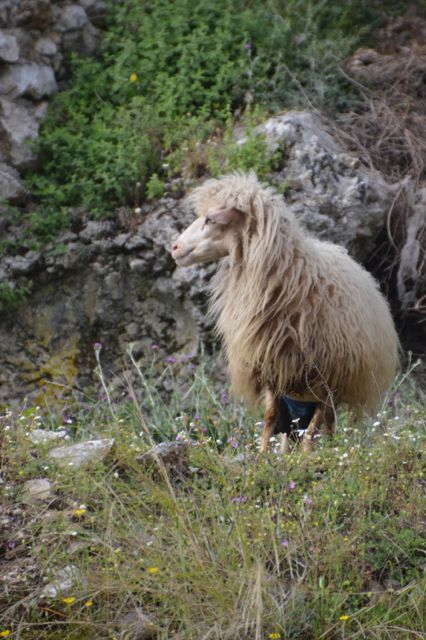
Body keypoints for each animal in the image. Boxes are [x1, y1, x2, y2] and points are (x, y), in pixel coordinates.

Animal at [171, 172, 399, 453]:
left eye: (210, 219)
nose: (174, 248)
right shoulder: (270, 366)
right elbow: (270, 417)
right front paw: (263, 455)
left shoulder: (330, 378)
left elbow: (313, 428)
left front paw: (309, 456)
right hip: (294, 392)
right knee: (291, 427)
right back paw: (284, 452)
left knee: (325, 425)